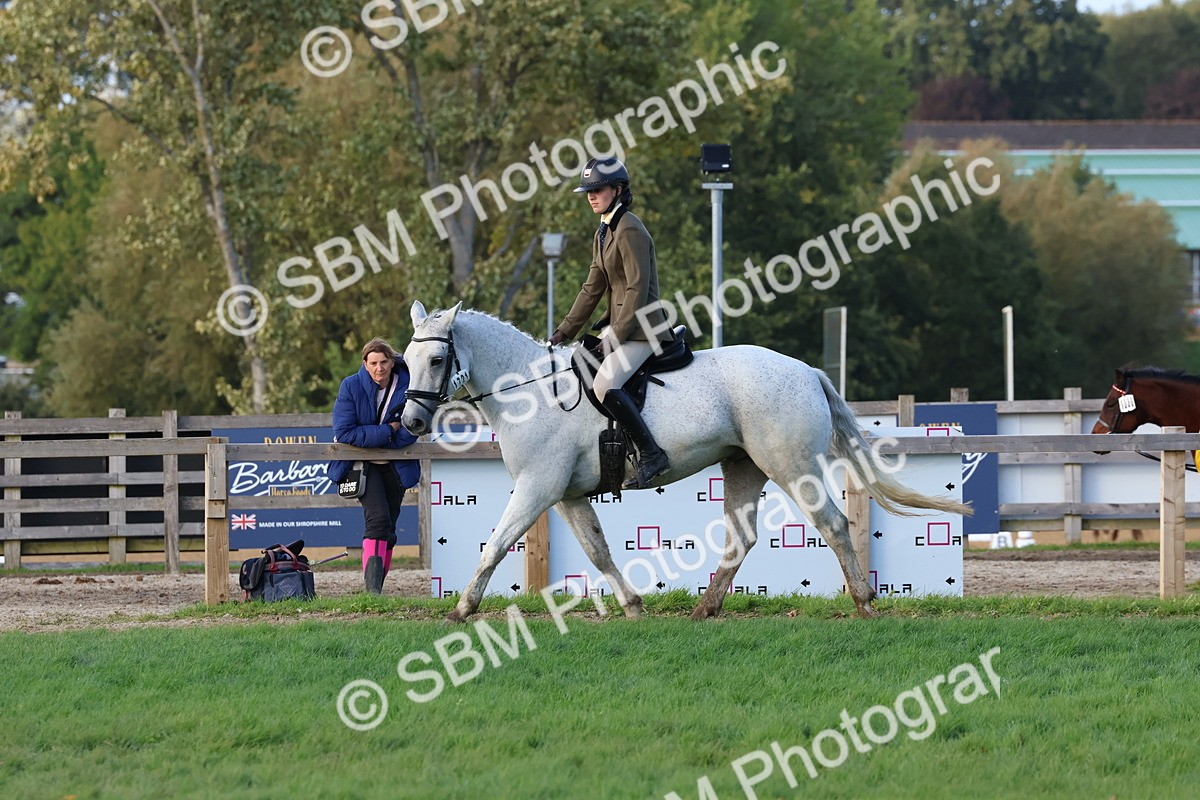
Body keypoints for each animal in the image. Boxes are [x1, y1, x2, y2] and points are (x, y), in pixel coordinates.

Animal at [400, 302, 972, 622]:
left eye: (436, 358)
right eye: (405, 359)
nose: (409, 421)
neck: (533, 390)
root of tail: (805, 370)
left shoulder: (537, 488)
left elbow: (495, 545)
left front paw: (461, 609)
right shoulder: (565, 494)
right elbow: (598, 551)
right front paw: (633, 606)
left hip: (791, 467)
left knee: (831, 524)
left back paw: (864, 602)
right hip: (744, 466)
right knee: (741, 537)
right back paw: (706, 607)